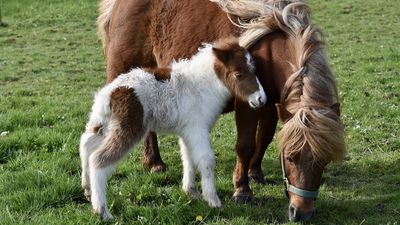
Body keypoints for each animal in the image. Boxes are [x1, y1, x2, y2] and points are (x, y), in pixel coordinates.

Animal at [79, 37, 266, 220]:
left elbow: (188, 158)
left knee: (86, 144)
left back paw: (87, 190)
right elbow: (207, 160)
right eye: (238, 74)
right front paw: (213, 201)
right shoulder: (198, 129)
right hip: (130, 128)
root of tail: (109, 94)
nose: (261, 99)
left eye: (255, 70)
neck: (201, 85)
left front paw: (191, 193)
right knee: (98, 159)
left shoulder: (187, 132)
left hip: (103, 123)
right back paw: (102, 211)